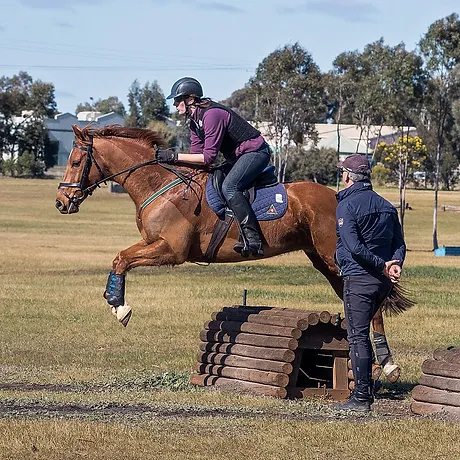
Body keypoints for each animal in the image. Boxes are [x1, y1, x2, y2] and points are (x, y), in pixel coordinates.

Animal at [55, 124, 414, 383]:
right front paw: (114, 301)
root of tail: (340, 196)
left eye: (76, 162)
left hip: (334, 258)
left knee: (371, 300)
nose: (61, 203)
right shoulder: (157, 245)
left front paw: (120, 306)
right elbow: (120, 257)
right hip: (323, 260)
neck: (162, 185)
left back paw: (387, 363)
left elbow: (122, 258)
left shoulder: (171, 250)